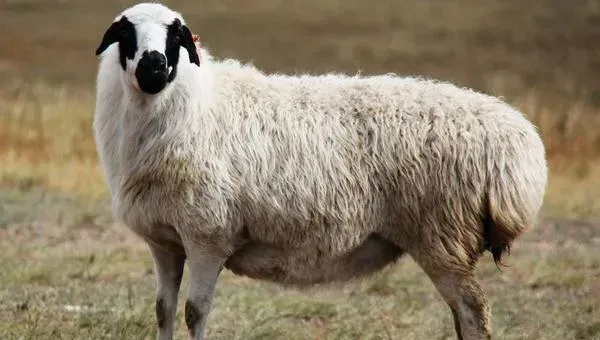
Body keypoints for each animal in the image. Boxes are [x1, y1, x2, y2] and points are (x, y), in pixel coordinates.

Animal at [92, 2, 548, 340]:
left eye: (177, 35)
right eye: (126, 33)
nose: (154, 66)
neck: (196, 105)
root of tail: (517, 144)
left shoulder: (208, 235)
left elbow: (194, 312)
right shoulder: (165, 241)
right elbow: (163, 311)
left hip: (441, 236)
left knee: (473, 312)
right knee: (464, 312)